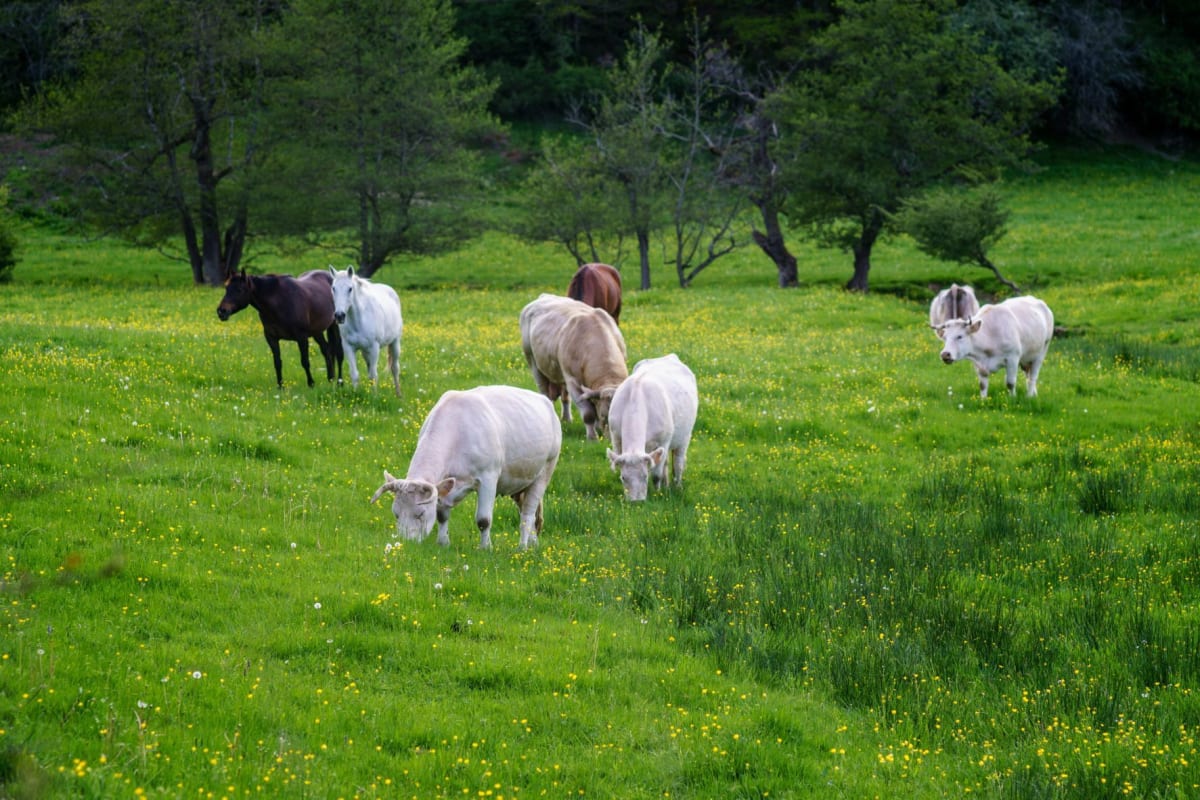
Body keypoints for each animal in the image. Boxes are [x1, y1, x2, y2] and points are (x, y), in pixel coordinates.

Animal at [369, 385, 562, 550]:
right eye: (396, 514)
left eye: (420, 513)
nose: (406, 543)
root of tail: (545, 401)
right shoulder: (446, 484)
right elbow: (442, 514)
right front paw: (443, 543)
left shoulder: (488, 478)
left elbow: (484, 520)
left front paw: (485, 548)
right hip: (520, 481)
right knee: (530, 513)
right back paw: (533, 544)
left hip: (545, 470)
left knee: (528, 513)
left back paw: (522, 547)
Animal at [520, 293, 628, 441]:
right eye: (604, 415)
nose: (611, 440)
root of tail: (544, 296)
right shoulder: (573, 383)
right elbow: (588, 414)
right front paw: (592, 437)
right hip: (533, 362)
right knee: (545, 393)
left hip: (560, 374)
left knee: (565, 397)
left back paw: (567, 419)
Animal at [606, 354, 698, 501]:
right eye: (623, 477)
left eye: (645, 476)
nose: (636, 502)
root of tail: (670, 356)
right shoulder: (616, 438)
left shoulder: (663, 442)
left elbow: (656, 475)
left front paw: (657, 493)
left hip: (684, 437)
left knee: (678, 463)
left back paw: (678, 486)